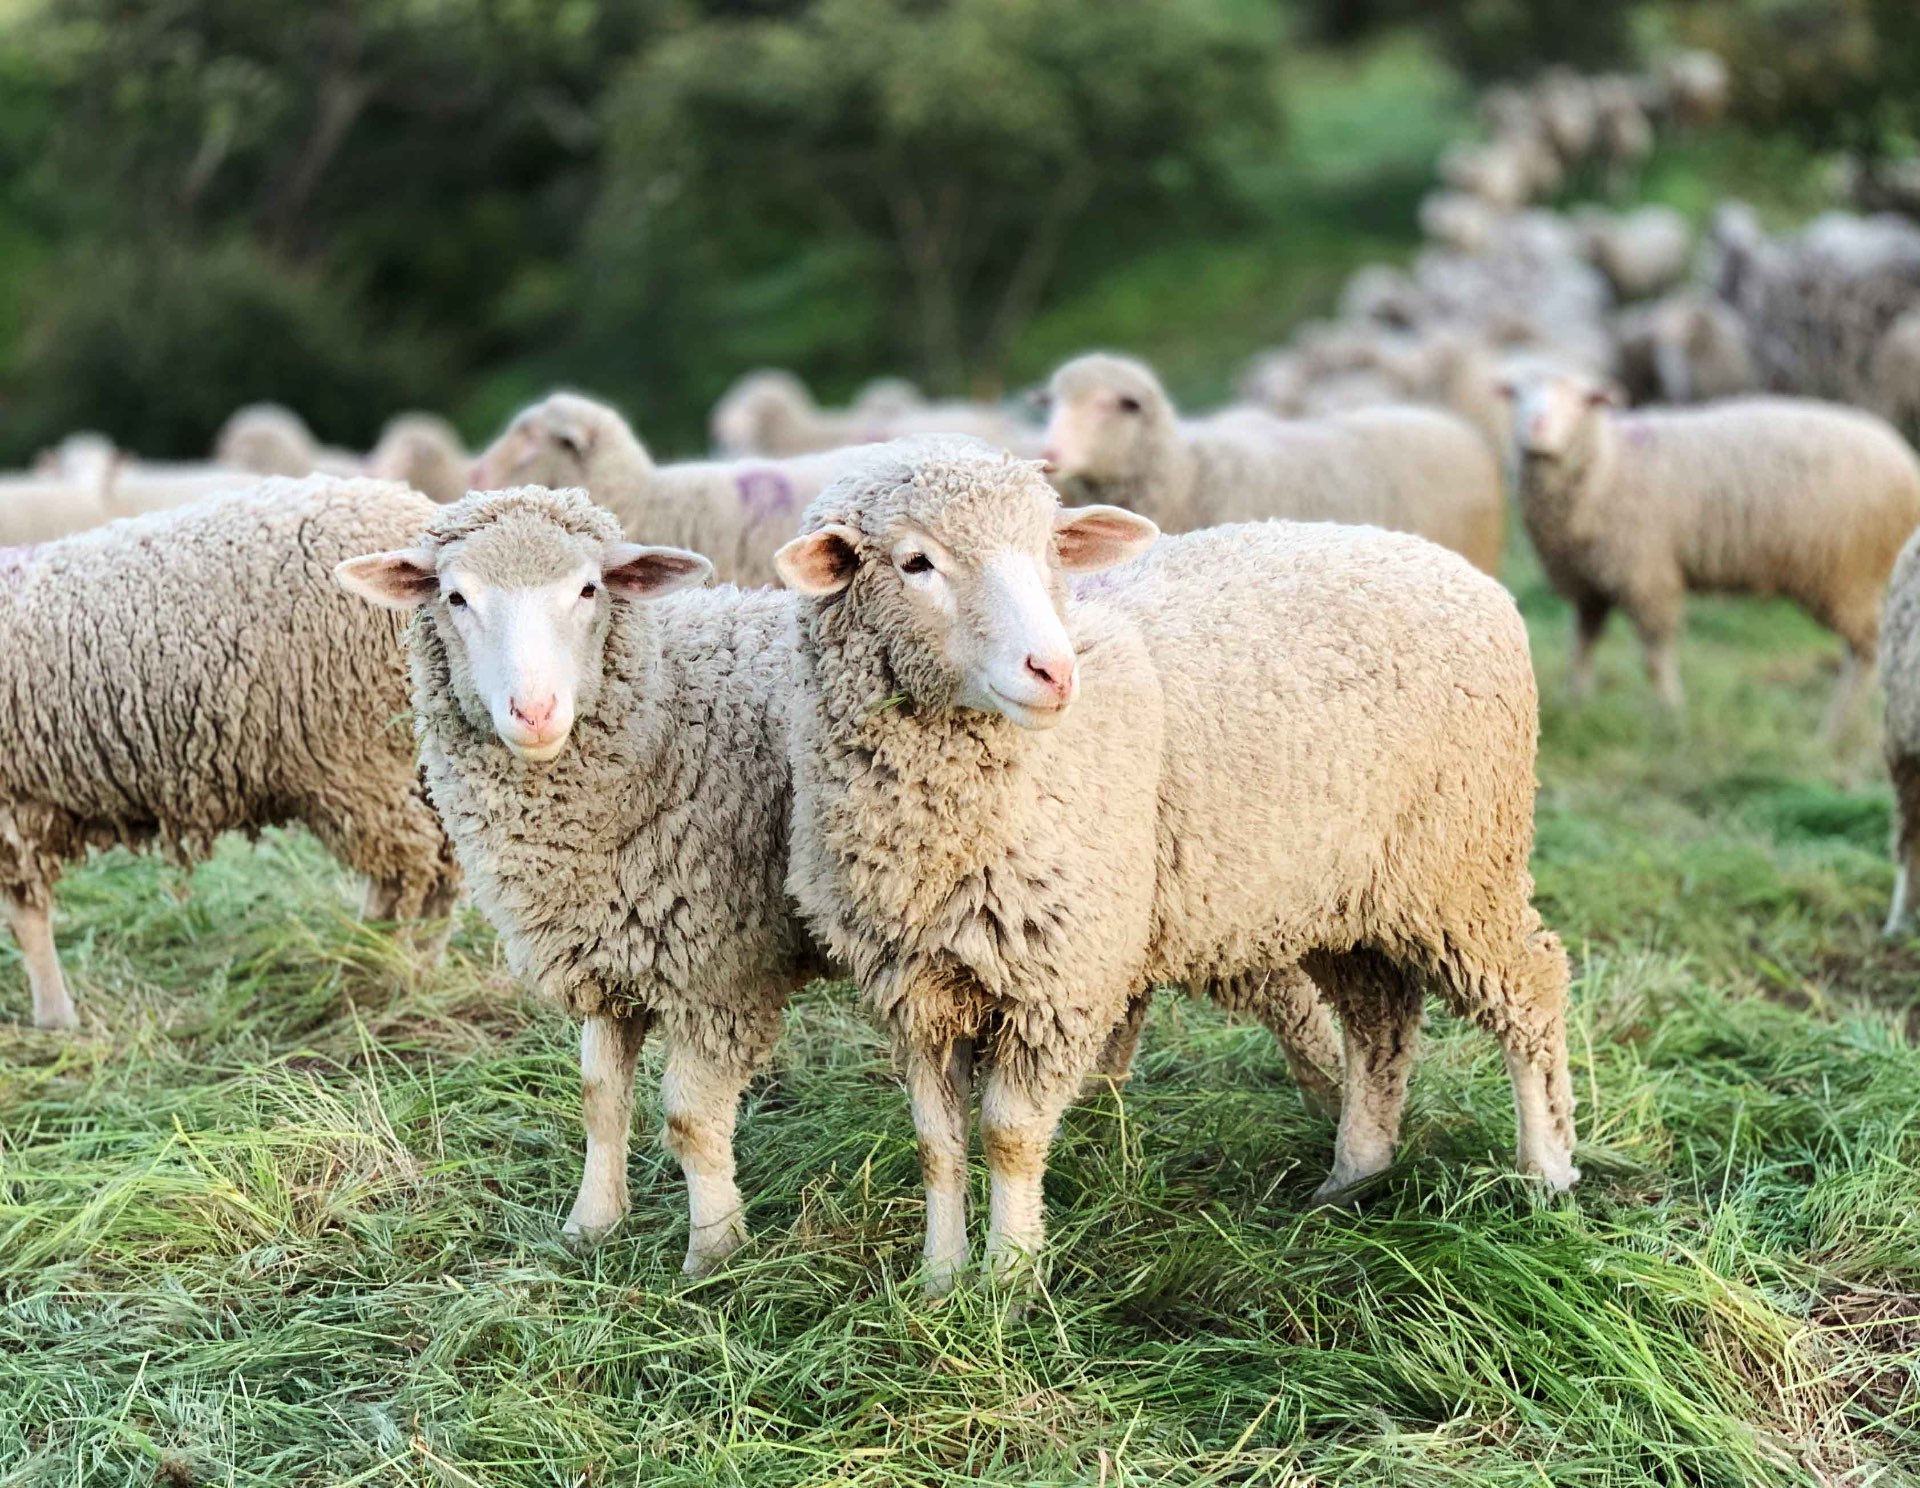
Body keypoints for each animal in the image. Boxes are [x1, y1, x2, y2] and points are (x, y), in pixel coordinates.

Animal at [1, 477, 459, 1031]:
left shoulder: (11, 804)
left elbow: (26, 920)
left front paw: (55, 1019)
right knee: (442, 861)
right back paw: (409, 959)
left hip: (354, 754)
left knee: (411, 863)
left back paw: (381, 962)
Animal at [336, 484, 829, 1269]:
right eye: (455, 596)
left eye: (589, 589)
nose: (535, 712)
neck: (672, 718)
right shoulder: (606, 953)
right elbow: (598, 1099)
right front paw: (592, 1225)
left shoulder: (722, 973)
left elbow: (690, 1121)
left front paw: (715, 1253)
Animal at [775, 437, 1575, 1287]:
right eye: (916, 562)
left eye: (1050, 551)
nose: (1053, 671)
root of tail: (1463, 572)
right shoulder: (915, 988)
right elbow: (937, 1143)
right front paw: (939, 1280)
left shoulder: (1061, 978)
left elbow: (1009, 1137)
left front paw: (1011, 1280)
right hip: (1346, 890)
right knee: (1379, 1020)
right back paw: (1354, 1174)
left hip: (1461, 865)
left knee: (1531, 988)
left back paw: (1546, 1173)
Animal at [1502, 369, 1920, 731]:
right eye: (1517, 396)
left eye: (1580, 400)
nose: (1535, 426)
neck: (1608, 464)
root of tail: (1904, 459)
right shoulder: (1589, 584)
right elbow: (1582, 646)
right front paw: (1578, 704)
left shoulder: (1647, 574)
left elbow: (1655, 658)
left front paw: (1670, 715)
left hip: (1845, 573)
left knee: (1868, 649)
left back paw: (1835, 729)